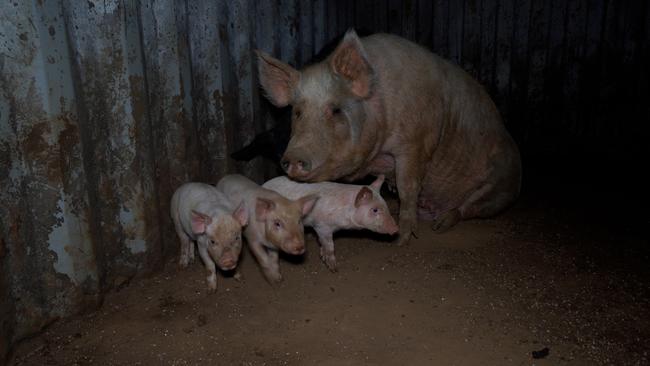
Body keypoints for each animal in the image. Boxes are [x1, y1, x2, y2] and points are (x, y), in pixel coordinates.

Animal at [256, 30, 520, 244]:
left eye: (336, 110)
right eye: (298, 112)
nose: (293, 158)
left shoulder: (417, 143)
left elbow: (407, 188)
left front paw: (403, 239)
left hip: (501, 186)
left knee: (467, 208)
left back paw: (439, 226)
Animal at [262, 174, 394, 272]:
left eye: (386, 205)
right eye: (375, 210)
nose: (395, 228)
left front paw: (322, 254)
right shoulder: (321, 225)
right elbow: (330, 245)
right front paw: (333, 268)